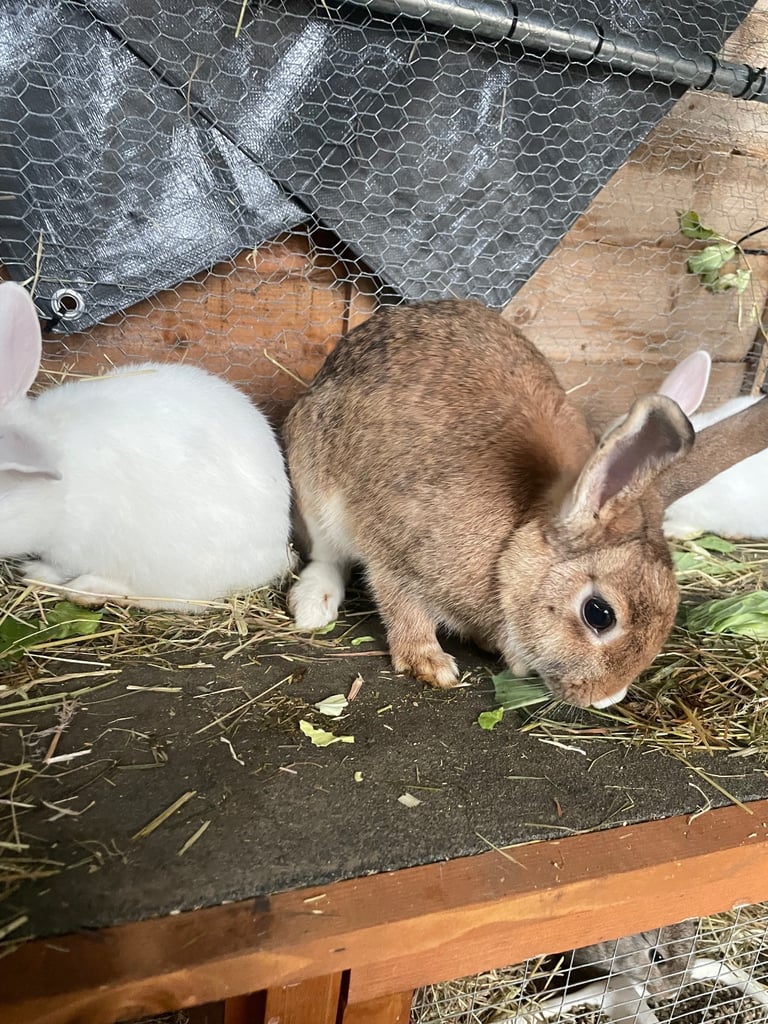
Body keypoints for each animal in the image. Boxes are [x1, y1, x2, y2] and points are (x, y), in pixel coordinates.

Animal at [283, 298, 756, 709]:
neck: (510, 545)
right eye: (599, 614)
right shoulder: (395, 552)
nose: (607, 699)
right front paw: (430, 664)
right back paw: (313, 606)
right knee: (326, 556)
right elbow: (403, 607)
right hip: (312, 483)